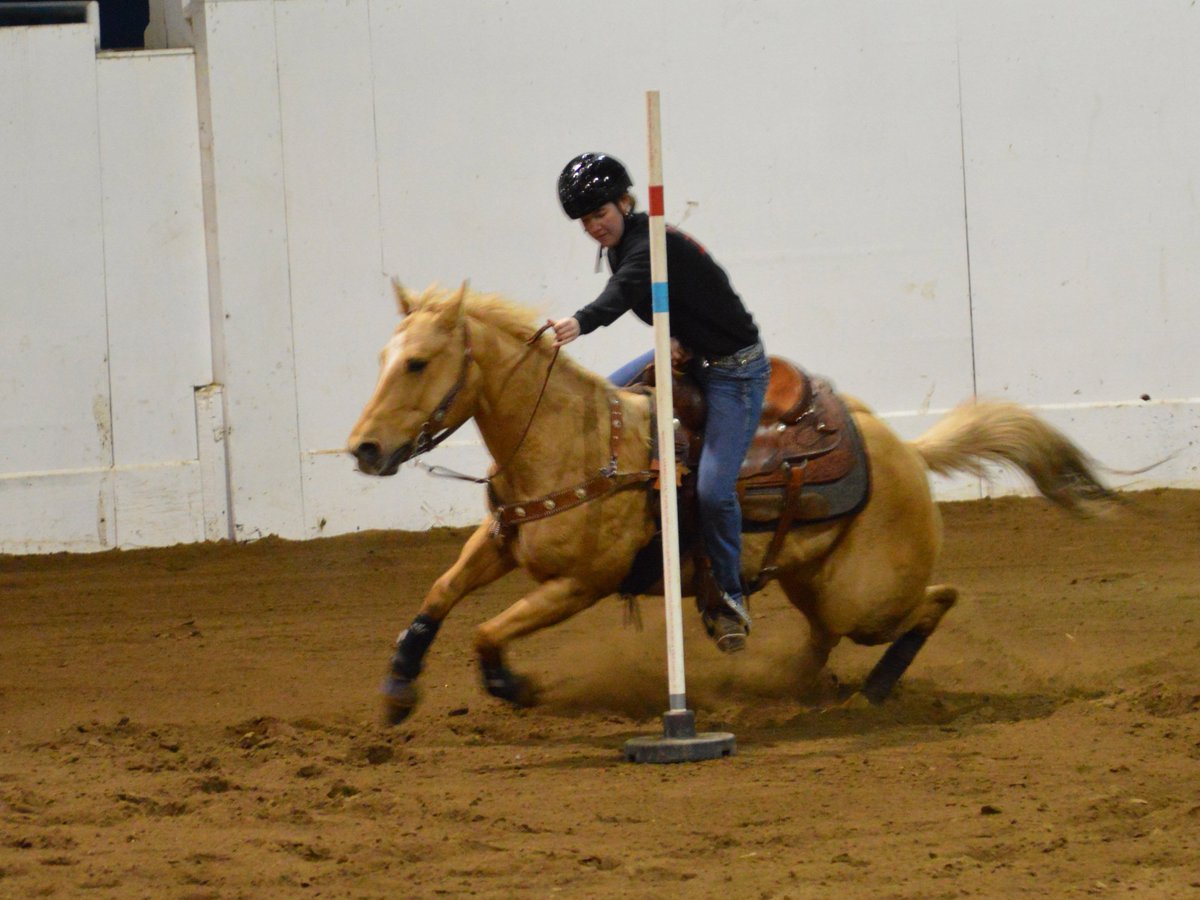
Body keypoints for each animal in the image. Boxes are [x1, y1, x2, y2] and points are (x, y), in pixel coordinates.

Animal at [347, 282, 1114, 724]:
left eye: (417, 362)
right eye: (380, 358)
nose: (363, 449)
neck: (573, 441)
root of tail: (904, 450)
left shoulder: (579, 585)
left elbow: (486, 628)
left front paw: (515, 685)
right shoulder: (501, 538)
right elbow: (440, 595)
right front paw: (399, 686)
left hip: (867, 599)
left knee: (934, 600)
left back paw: (870, 691)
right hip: (815, 582)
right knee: (823, 636)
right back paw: (789, 686)